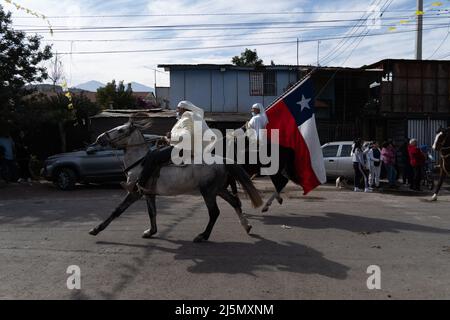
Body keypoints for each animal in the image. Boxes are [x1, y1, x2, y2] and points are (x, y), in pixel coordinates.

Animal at [89, 115, 264, 242]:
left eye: (120, 130)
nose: (99, 138)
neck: (140, 161)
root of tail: (223, 161)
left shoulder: (135, 192)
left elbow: (117, 210)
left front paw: (96, 229)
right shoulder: (149, 194)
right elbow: (152, 212)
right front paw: (151, 231)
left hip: (208, 192)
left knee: (214, 212)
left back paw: (203, 236)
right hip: (219, 189)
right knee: (235, 202)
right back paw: (246, 226)